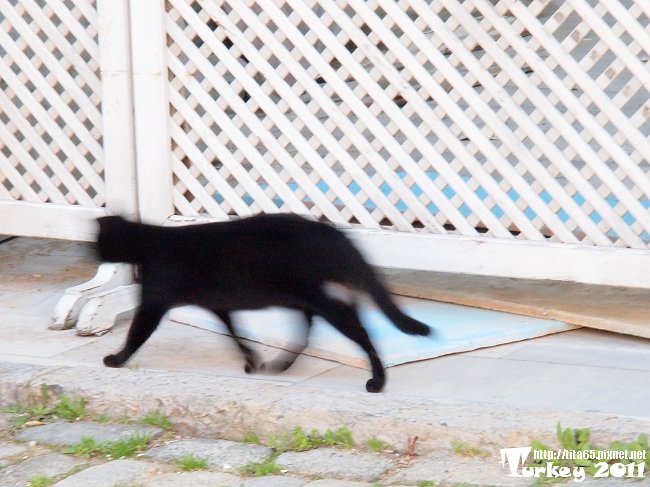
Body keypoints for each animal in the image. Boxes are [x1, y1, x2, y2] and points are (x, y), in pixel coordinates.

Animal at [96, 214, 430, 392]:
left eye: (99, 241)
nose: (94, 254)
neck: (149, 243)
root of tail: (333, 232)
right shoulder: (219, 306)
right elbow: (235, 333)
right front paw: (251, 360)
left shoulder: (153, 303)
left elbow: (136, 333)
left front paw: (116, 359)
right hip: (310, 301)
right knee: (308, 333)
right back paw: (280, 365)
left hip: (325, 302)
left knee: (362, 335)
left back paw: (378, 380)